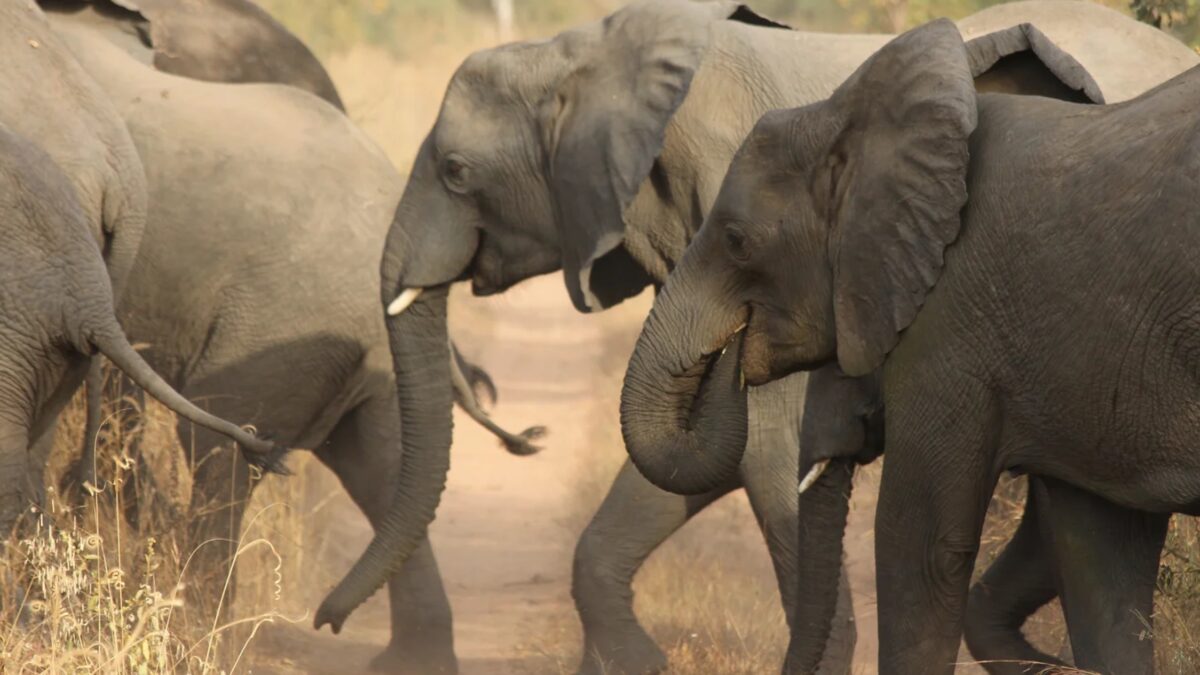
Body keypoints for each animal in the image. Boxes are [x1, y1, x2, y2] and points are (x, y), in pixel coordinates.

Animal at [44, 9, 541, 673]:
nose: (325, 620)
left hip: (281, 328)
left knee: (221, 449)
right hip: (360, 365)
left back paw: (193, 633)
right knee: (385, 472)